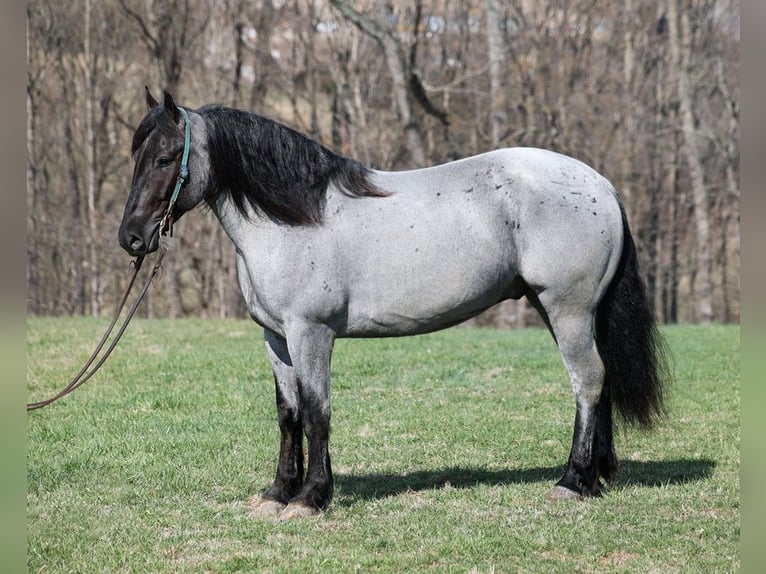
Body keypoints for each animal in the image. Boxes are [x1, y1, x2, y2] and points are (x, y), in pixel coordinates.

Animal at [118, 90, 664, 520]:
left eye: (165, 158)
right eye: (137, 156)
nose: (132, 238)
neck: (293, 219)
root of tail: (601, 185)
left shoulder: (311, 333)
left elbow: (317, 412)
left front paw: (311, 498)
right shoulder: (276, 338)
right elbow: (288, 414)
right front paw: (278, 493)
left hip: (567, 309)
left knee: (587, 382)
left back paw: (571, 482)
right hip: (564, 311)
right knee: (599, 380)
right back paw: (597, 479)